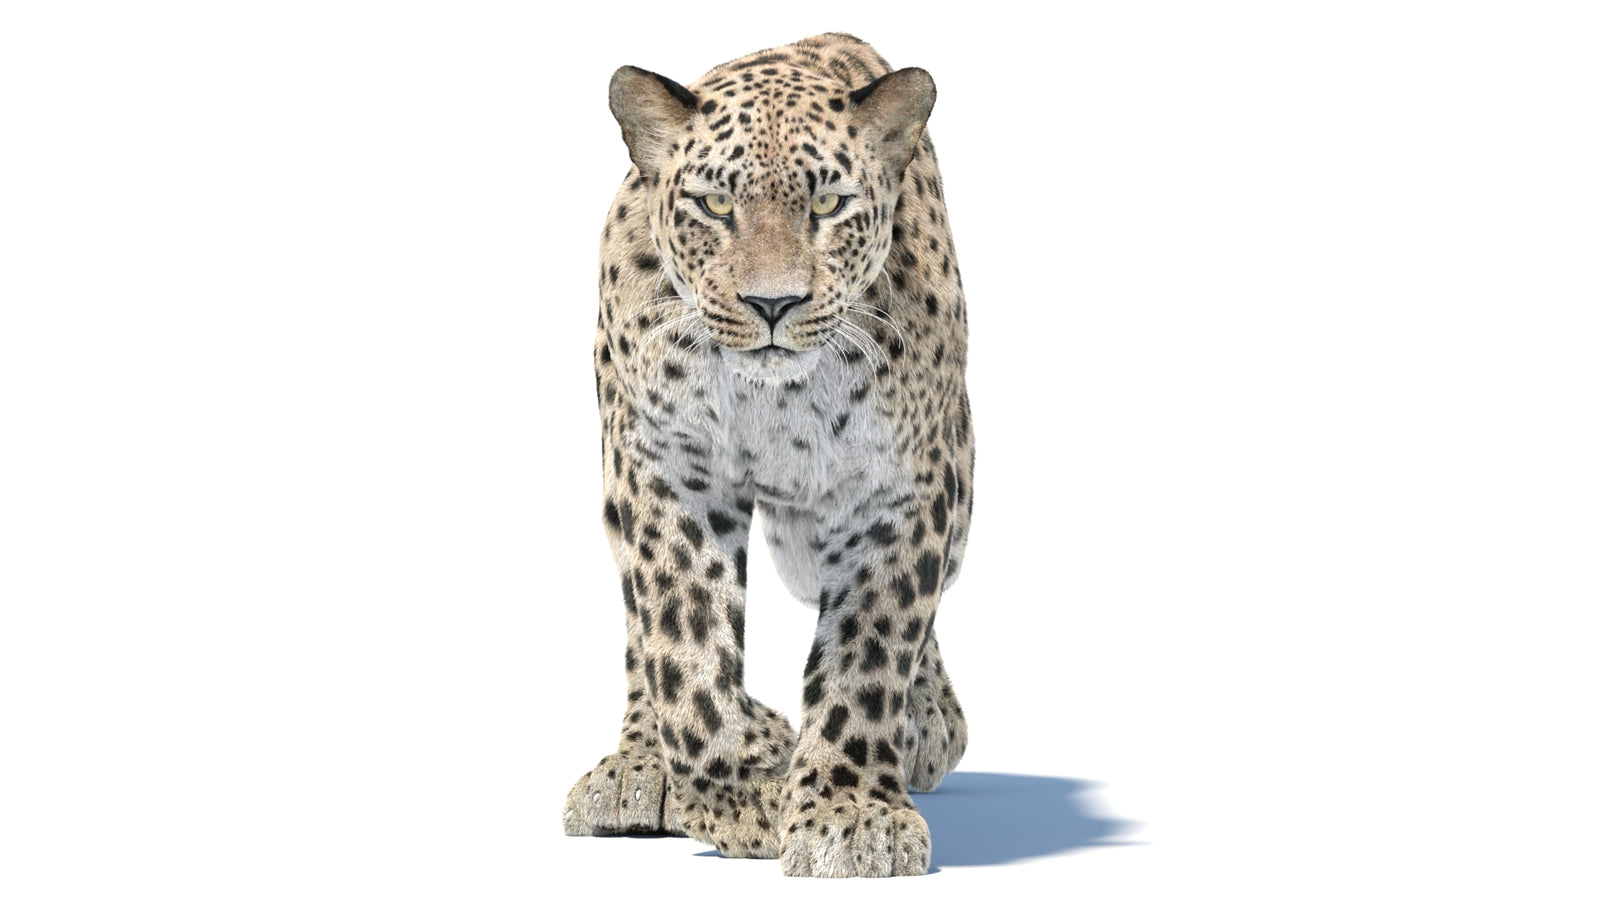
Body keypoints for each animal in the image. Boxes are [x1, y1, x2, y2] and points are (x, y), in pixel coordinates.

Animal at [561, 33, 974, 878]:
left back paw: (928, 724)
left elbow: (871, 652)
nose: (774, 304)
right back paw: (640, 766)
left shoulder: (901, 490)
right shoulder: (666, 468)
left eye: (828, 206)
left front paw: (852, 813)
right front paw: (742, 791)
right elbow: (682, 643)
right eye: (717, 206)